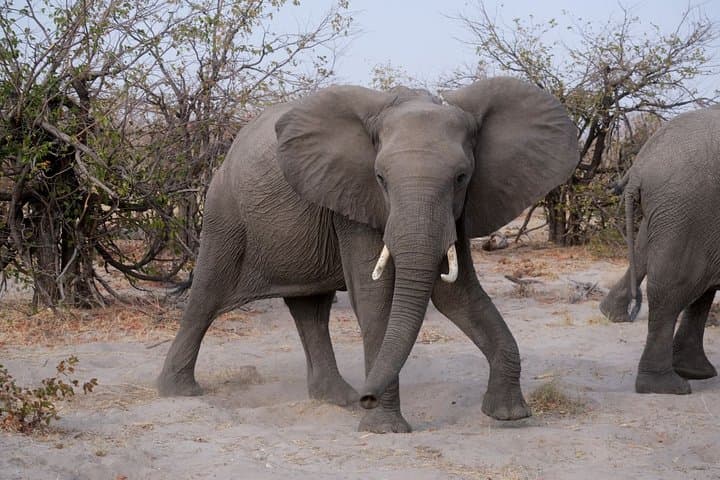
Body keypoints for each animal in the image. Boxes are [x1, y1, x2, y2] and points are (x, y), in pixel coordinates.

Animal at [157, 77, 579, 432]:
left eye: (461, 178)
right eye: (381, 179)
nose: (368, 396)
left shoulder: (459, 209)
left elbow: (457, 294)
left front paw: (508, 415)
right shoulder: (354, 198)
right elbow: (375, 298)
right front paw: (384, 429)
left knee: (310, 310)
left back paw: (337, 399)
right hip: (225, 210)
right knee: (207, 294)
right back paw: (178, 392)